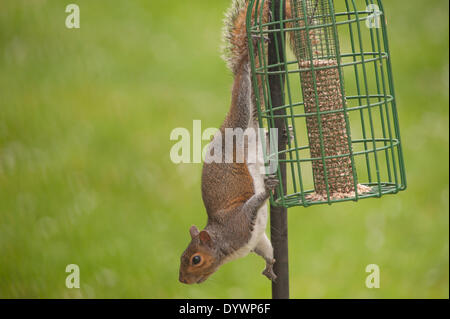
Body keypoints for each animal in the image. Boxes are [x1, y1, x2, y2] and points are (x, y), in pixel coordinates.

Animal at [179, 0, 296, 284]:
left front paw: (267, 189)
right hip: (257, 137)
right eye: (182, 257)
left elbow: (254, 203)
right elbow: (267, 250)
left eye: (196, 259)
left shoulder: (240, 222)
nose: (182, 280)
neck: (224, 244)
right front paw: (269, 268)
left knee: (243, 83)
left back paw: (248, 57)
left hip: (240, 115)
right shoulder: (255, 240)